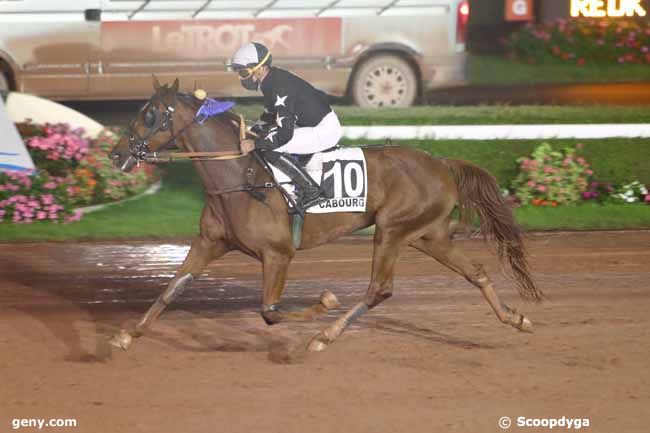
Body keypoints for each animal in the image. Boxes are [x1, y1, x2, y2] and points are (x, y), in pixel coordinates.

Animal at [107, 79, 540, 352]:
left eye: (149, 115)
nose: (116, 153)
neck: (237, 178)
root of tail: (442, 163)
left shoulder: (278, 254)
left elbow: (269, 313)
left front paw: (324, 304)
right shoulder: (210, 242)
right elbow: (171, 288)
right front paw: (127, 335)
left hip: (392, 230)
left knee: (379, 289)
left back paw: (324, 336)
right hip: (426, 234)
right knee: (476, 272)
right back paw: (515, 318)